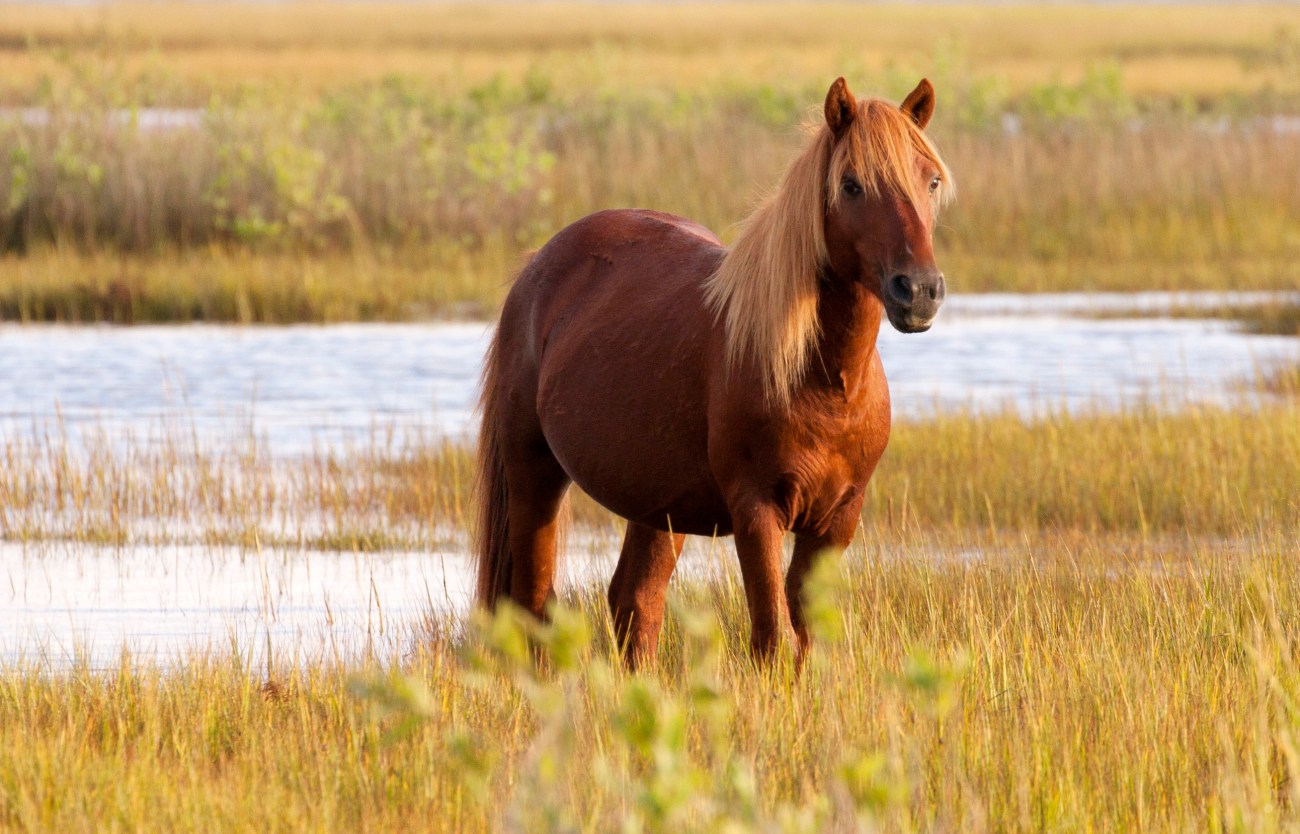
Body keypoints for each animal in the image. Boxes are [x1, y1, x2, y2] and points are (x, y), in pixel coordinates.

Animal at [474, 77, 951, 666]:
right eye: (852, 185)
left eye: (931, 180)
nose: (920, 291)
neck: (825, 382)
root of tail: (538, 265)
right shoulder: (757, 510)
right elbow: (774, 638)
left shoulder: (838, 518)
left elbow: (807, 640)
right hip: (533, 475)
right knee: (533, 606)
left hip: (657, 507)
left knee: (635, 602)